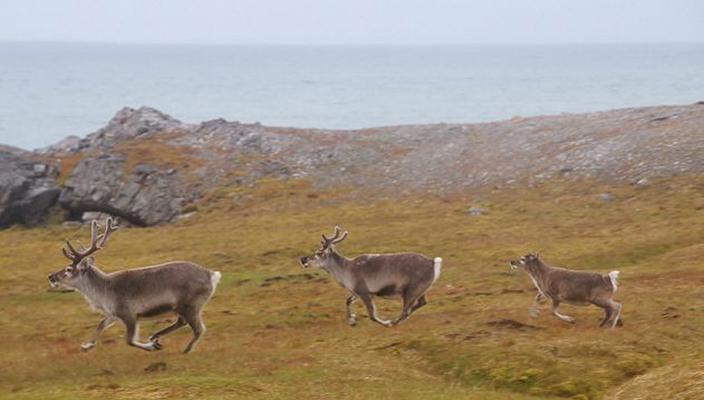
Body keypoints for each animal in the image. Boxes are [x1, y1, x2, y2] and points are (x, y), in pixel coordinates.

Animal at [48, 219, 220, 354]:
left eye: (69, 269)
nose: (51, 277)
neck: (103, 292)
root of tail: (212, 275)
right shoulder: (113, 313)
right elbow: (100, 324)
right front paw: (87, 345)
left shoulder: (128, 313)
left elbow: (129, 340)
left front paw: (151, 347)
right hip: (180, 307)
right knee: (182, 322)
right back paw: (155, 336)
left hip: (190, 304)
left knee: (199, 328)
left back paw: (185, 350)